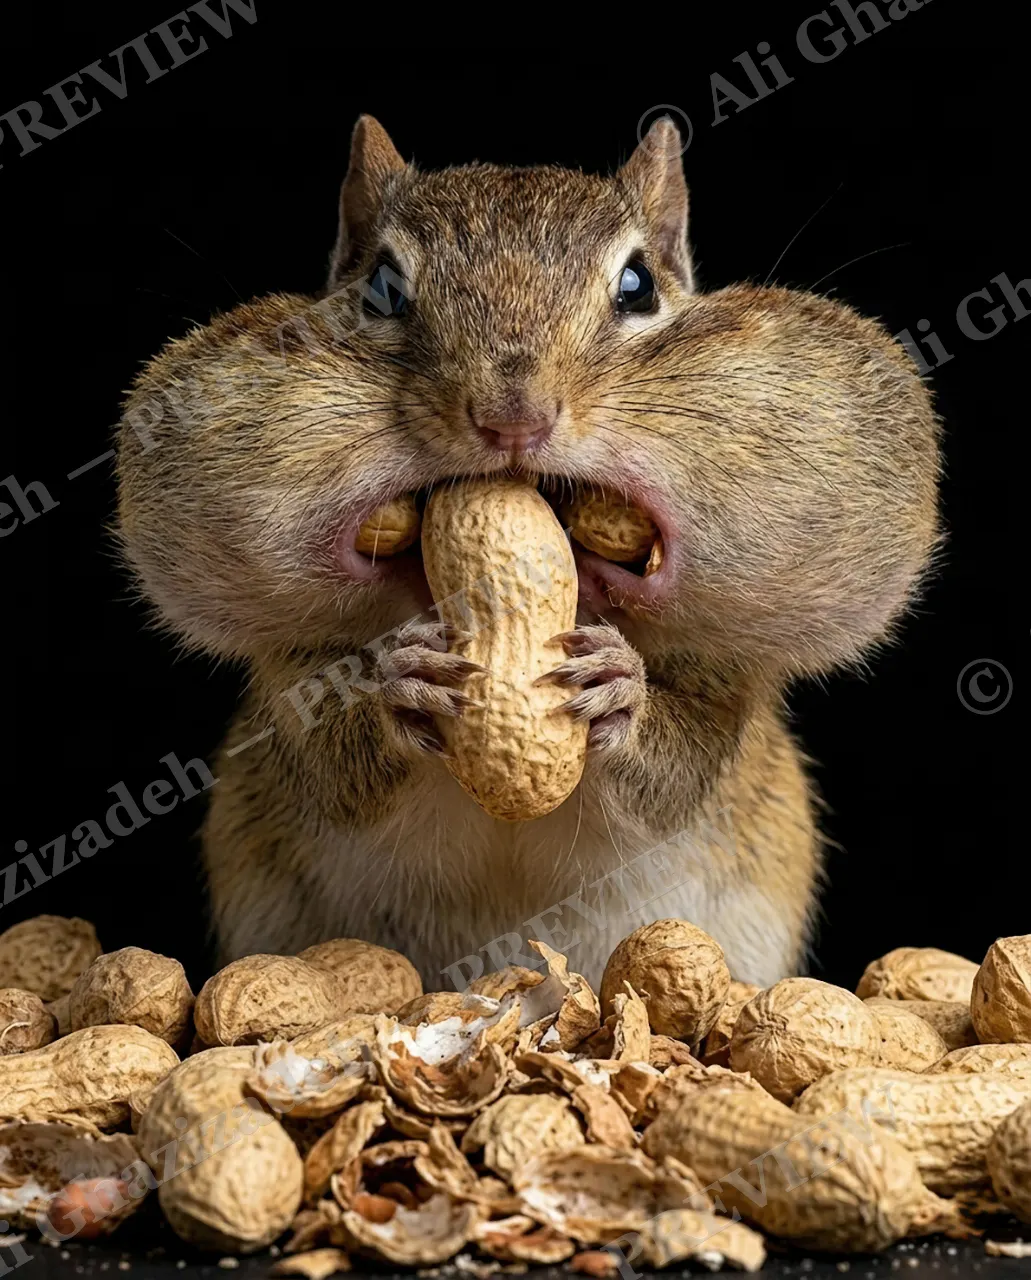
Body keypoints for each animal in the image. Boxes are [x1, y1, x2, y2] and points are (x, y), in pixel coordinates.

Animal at [116, 116, 939, 991]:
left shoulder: (726, 679)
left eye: (638, 287)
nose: (513, 417)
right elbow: (334, 766)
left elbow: (681, 768)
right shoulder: (290, 675)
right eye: (382, 289)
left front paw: (621, 690)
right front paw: (399, 688)